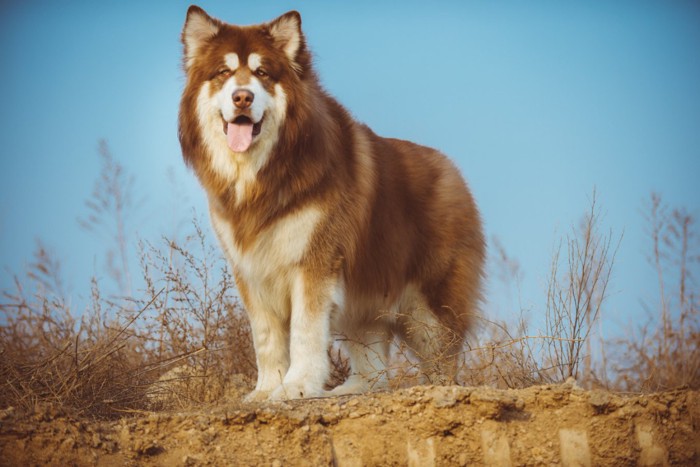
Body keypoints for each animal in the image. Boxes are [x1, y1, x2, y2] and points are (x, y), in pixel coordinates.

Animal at [178, 6, 484, 402]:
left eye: (263, 73)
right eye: (223, 73)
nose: (242, 97)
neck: (264, 174)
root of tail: (453, 172)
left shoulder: (315, 263)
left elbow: (305, 333)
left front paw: (297, 387)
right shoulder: (251, 269)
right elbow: (266, 338)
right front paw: (266, 389)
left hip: (428, 304)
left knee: (442, 354)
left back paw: (437, 387)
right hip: (366, 292)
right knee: (372, 358)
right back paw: (352, 388)